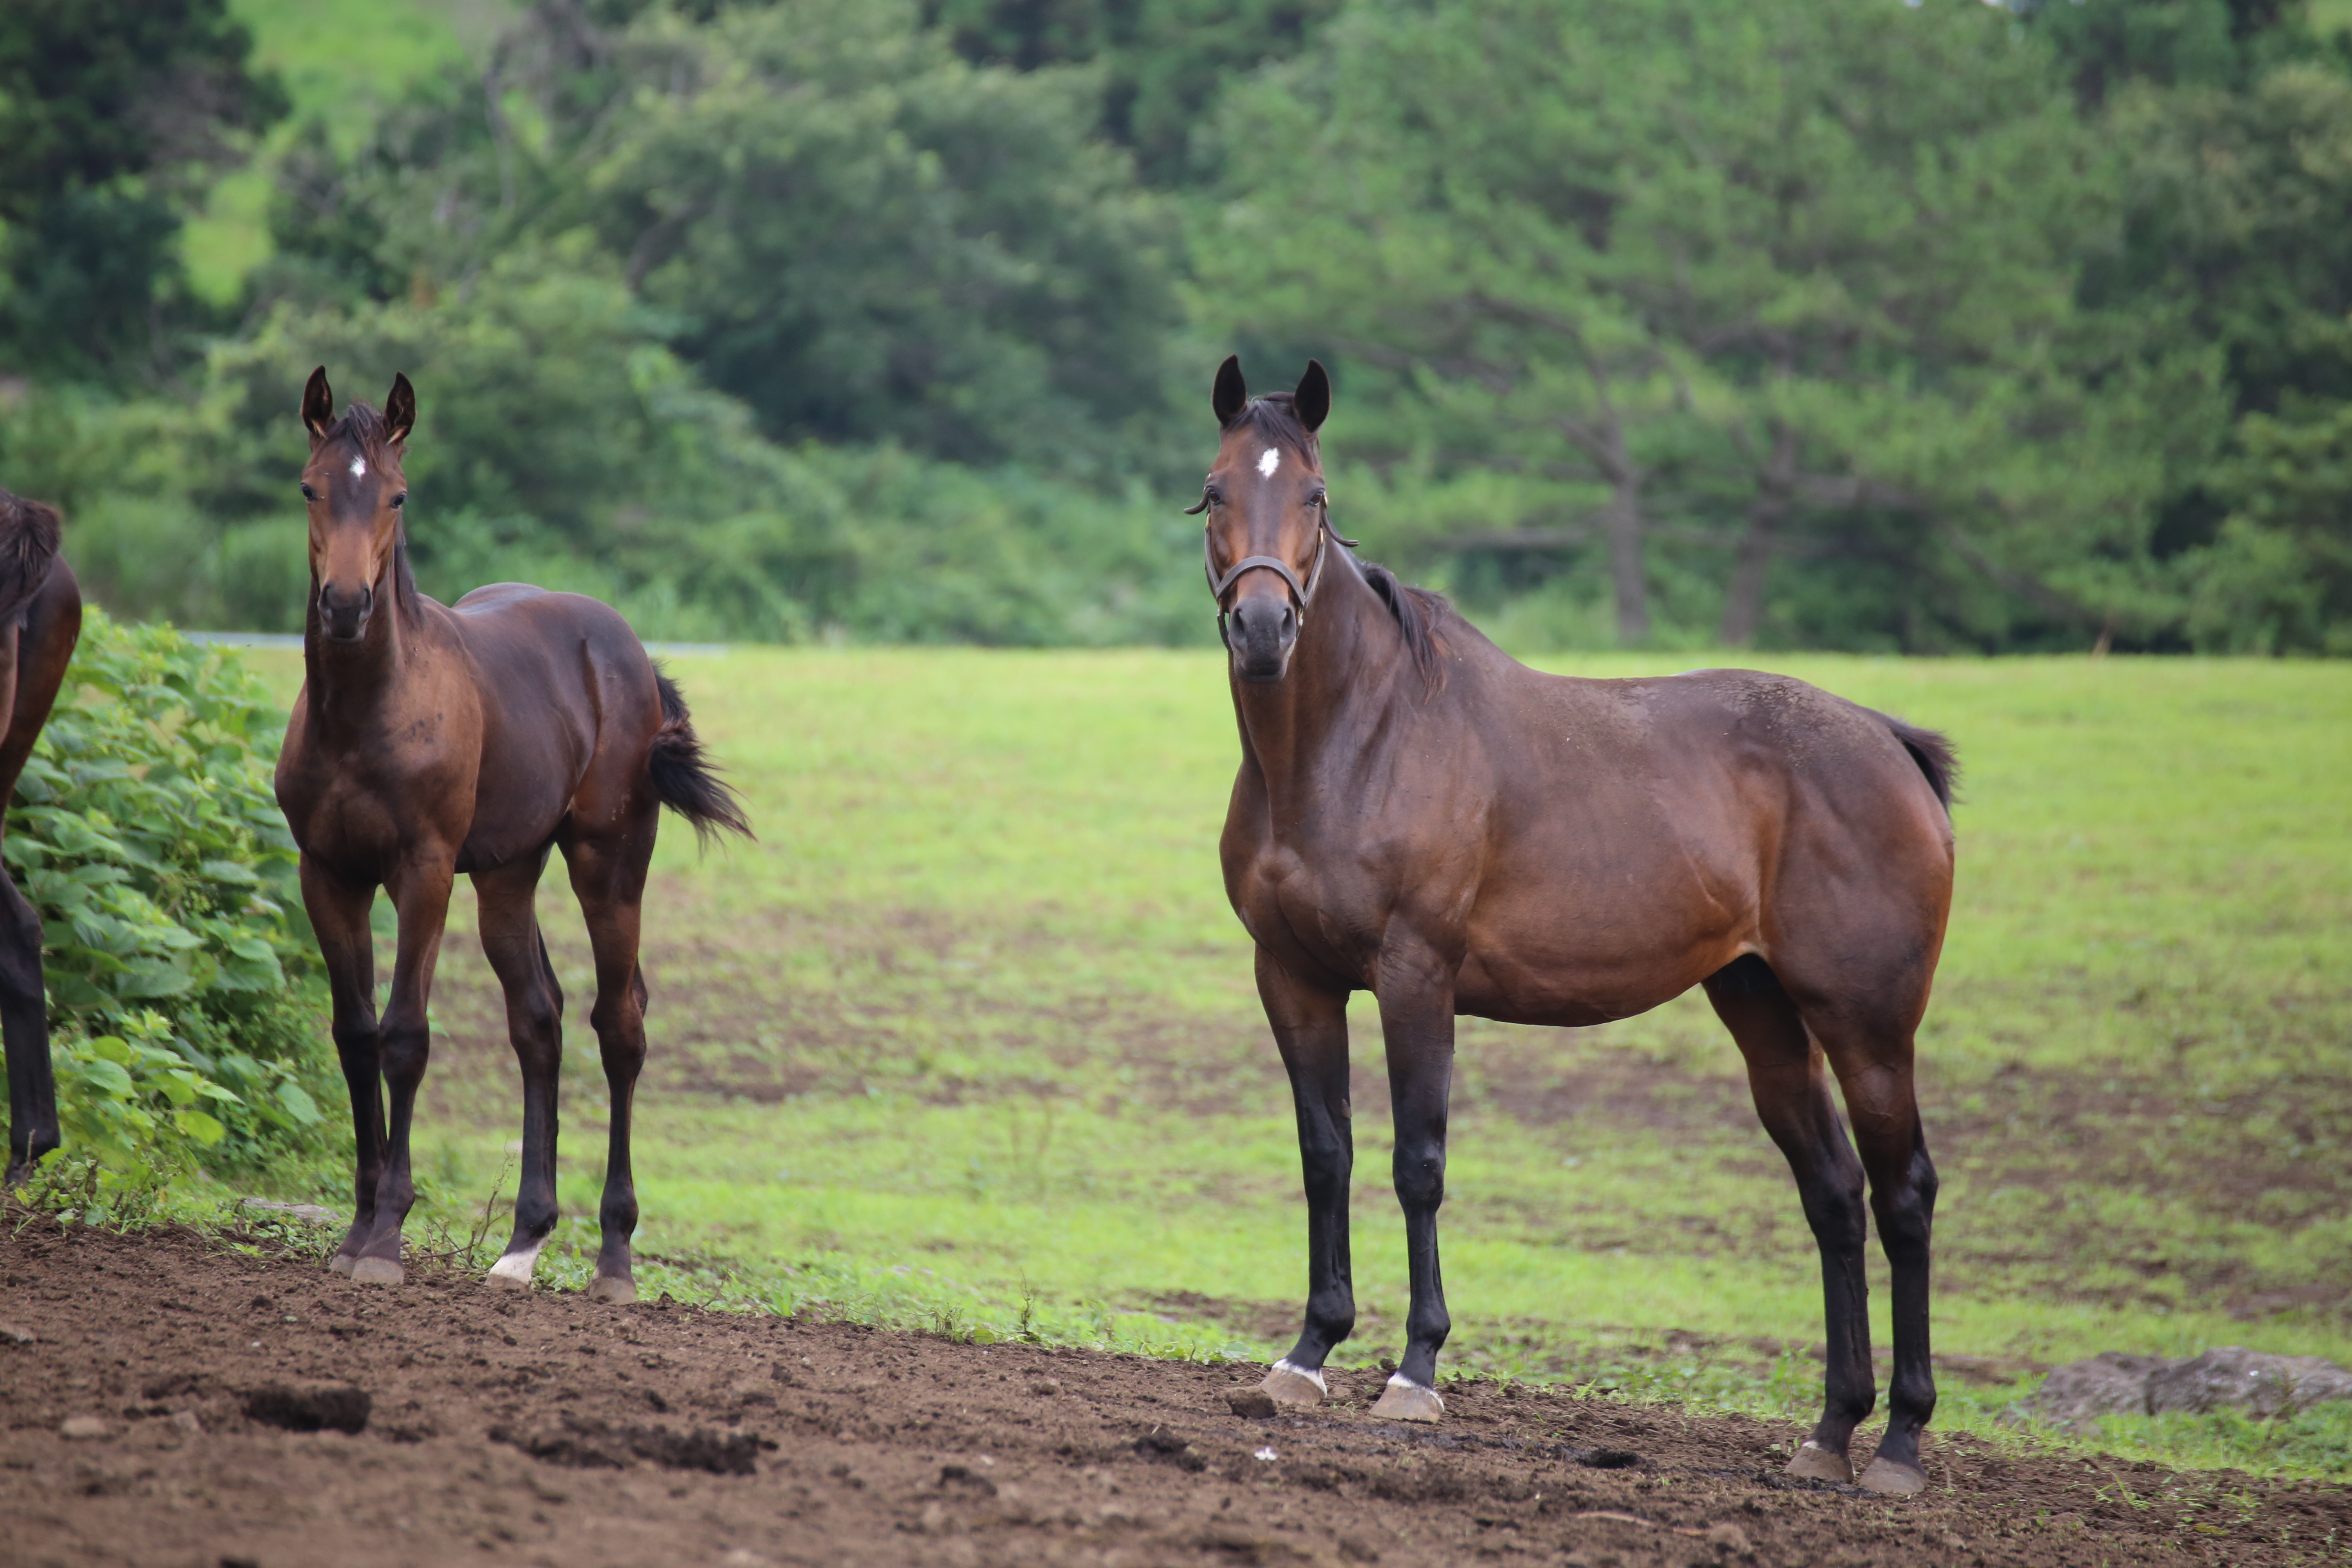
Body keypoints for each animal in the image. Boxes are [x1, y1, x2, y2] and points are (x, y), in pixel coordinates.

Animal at [275, 369, 753, 1297]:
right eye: (311, 488)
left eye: (397, 495)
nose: (345, 606)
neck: (365, 713)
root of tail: (631, 654)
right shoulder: (329, 872)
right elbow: (354, 1035)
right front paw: (354, 1229)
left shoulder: (422, 871)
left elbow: (405, 1035)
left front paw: (387, 1238)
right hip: (507, 873)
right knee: (539, 1016)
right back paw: (523, 1244)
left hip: (608, 862)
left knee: (619, 1022)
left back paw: (614, 1258)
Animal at [1204, 355, 1957, 1495]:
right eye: (1213, 490)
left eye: (1316, 497)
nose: (1260, 630)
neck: (1355, 741)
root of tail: (1888, 746)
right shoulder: (1291, 977)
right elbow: (1325, 1153)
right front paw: (1306, 1355)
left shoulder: (1416, 978)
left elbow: (1416, 1163)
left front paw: (1414, 1373)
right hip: (1761, 1008)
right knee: (1831, 1194)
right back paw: (1828, 1433)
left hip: (1867, 1025)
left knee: (1902, 1194)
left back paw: (1900, 1442)